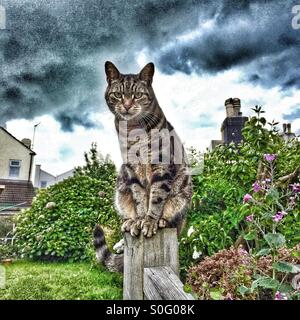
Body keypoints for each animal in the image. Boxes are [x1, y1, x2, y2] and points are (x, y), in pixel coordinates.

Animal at [94, 61, 192, 272]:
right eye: (118, 94)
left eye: (137, 95)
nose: (127, 105)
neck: (133, 130)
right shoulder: (132, 170)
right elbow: (140, 199)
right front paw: (139, 220)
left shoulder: (161, 166)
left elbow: (155, 197)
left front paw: (150, 221)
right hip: (121, 189)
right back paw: (129, 222)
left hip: (183, 192)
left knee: (174, 218)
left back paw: (163, 221)